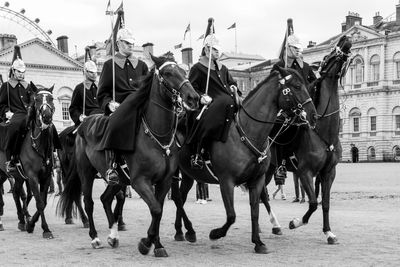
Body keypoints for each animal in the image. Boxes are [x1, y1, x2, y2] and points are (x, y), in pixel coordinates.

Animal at [0, 84, 57, 239]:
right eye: (36, 99)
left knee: (16, 192)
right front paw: (45, 229)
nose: (47, 117)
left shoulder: (45, 177)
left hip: (13, 176)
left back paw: (21, 220)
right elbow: (39, 202)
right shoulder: (32, 177)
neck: (39, 145)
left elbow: (42, 201)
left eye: (51, 98)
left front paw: (30, 223)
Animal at [57, 55, 199, 258]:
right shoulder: (140, 181)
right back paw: (95, 237)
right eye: (167, 73)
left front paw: (157, 244)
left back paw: (113, 235)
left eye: (182, 71)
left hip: (119, 180)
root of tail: (84, 124)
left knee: (105, 199)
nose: (193, 97)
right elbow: (156, 209)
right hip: (86, 173)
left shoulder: (164, 181)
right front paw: (147, 243)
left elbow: (159, 210)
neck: (157, 138)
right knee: (88, 202)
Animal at [173, 66, 318, 254]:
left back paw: (181, 231)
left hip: (188, 175)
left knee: (180, 198)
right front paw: (215, 233)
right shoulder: (226, 181)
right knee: (176, 197)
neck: (248, 132)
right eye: (297, 86)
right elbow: (231, 215)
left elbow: (254, 211)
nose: (314, 115)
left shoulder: (257, 180)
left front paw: (258, 242)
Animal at [264, 35, 352, 245]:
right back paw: (276, 224)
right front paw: (295, 222)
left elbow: (325, 204)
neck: (323, 132)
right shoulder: (305, 172)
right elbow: (312, 203)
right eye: (328, 55)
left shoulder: (328, 173)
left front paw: (328, 232)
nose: (346, 39)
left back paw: (275, 225)